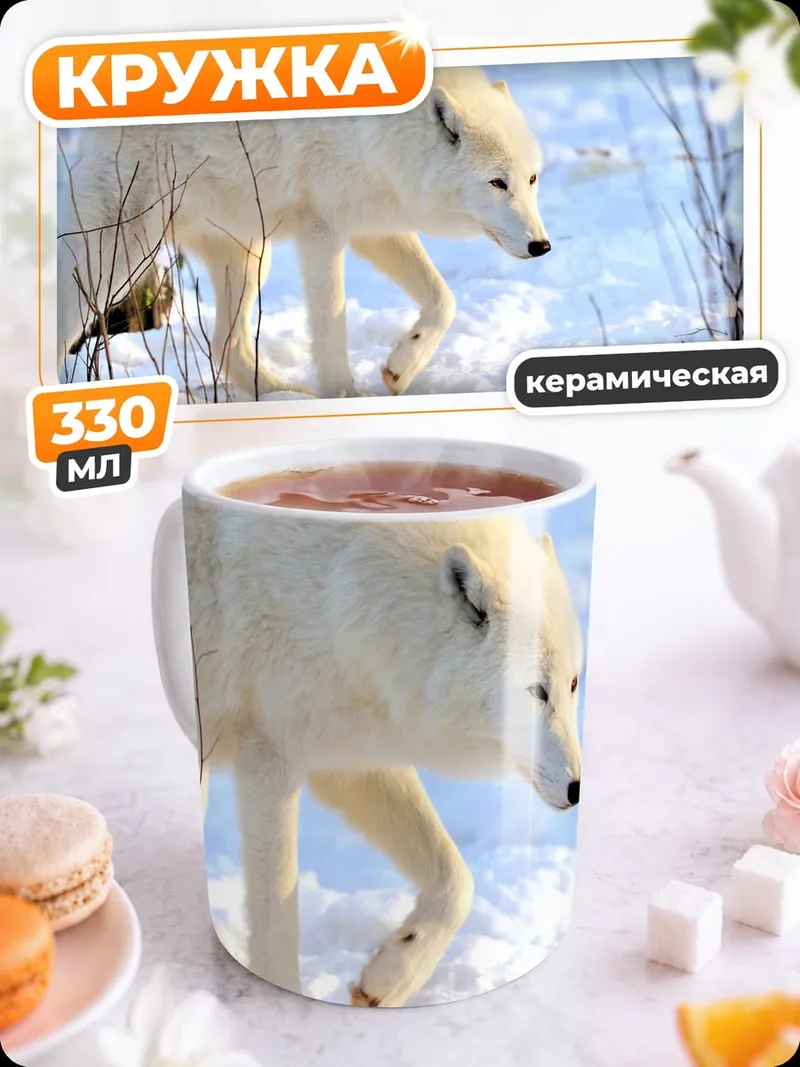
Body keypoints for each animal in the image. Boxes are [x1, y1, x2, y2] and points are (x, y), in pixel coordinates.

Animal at [58, 67, 550, 399]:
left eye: (531, 180)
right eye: (497, 182)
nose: (541, 246)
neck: (382, 139)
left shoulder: (375, 229)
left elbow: (444, 301)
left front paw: (400, 368)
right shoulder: (323, 233)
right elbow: (331, 326)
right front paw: (345, 396)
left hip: (250, 258)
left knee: (224, 344)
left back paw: (286, 395)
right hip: (118, 260)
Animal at [177, 502, 583, 1007]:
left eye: (573, 683)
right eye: (536, 691)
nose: (577, 789)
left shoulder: (349, 760)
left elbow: (458, 881)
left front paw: (390, 979)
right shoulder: (269, 759)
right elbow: (276, 917)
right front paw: (283, 985)